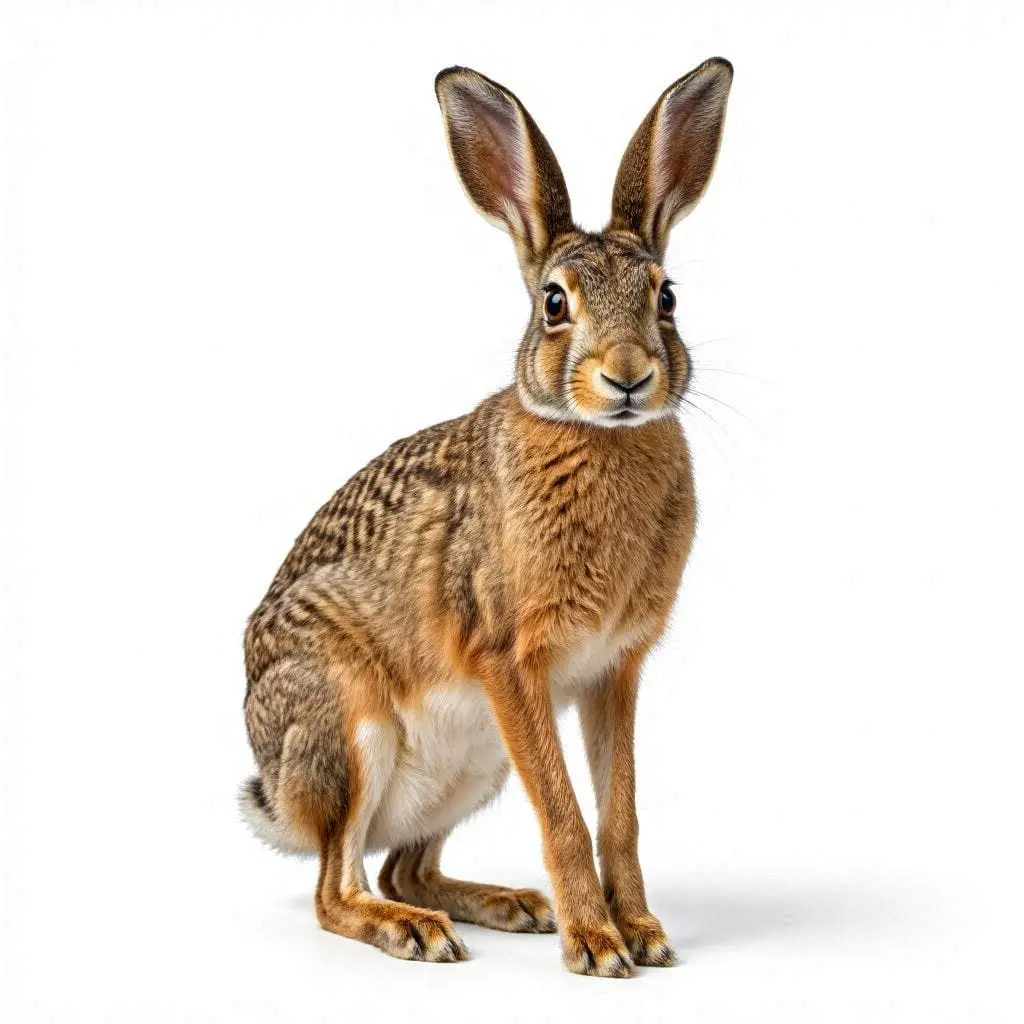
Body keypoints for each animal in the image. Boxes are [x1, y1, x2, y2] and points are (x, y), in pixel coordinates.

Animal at [240, 57, 732, 977]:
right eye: (554, 303)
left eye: (668, 298)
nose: (627, 376)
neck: (597, 438)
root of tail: (276, 794)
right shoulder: (510, 660)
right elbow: (567, 816)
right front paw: (597, 948)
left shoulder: (615, 670)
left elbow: (619, 815)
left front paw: (643, 934)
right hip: (348, 727)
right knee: (336, 887)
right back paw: (413, 930)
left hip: (476, 767)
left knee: (404, 864)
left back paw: (507, 906)